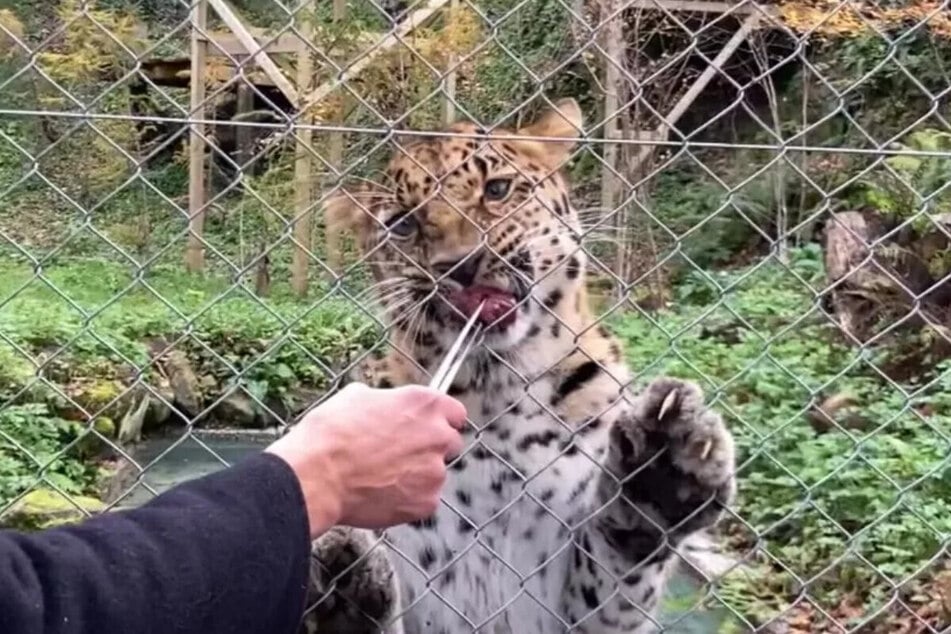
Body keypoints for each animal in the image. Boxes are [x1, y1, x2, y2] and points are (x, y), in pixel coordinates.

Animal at [302, 99, 740, 632]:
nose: (459, 265)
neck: (495, 393)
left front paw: (661, 469)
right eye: (404, 224)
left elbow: (616, 569)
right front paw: (342, 562)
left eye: (497, 190)